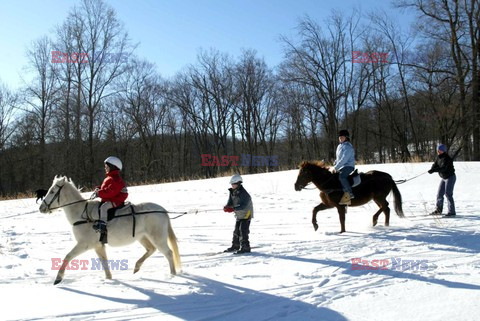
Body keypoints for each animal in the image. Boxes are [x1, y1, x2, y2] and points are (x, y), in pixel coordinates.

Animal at [38, 176, 181, 284]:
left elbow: (68, 256)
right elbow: (104, 262)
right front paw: (109, 279)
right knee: (151, 249)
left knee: (169, 253)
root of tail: (162, 210)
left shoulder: (84, 244)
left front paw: (58, 278)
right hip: (142, 237)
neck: (82, 214)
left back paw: (173, 275)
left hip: (157, 238)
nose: (41, 208)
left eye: (52, 191)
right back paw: (137, 267)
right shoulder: (98, 246)